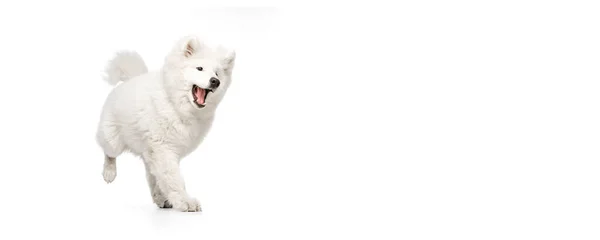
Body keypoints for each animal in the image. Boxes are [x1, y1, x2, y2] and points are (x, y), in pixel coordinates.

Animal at [95, 35, 236, 212]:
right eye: (200, 68)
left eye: (217, 73)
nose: (215, 81)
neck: (176, 104)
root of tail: (129, 80)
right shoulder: (164, 148)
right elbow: (173, 178)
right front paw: (185, 201)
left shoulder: (161, 150)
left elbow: (164, 177)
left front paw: (173, 198)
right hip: (113, 140)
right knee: (109, 153)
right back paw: (109, 173)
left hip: (147, 152)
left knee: (151, 175)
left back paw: (161, 198)